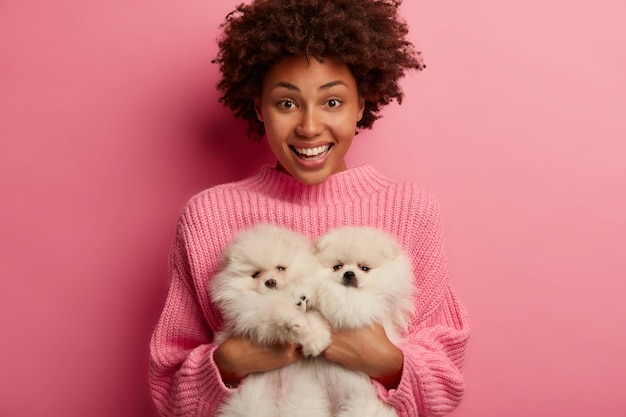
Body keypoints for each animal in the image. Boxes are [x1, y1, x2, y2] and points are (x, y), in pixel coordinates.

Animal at [208, 224, 332, 416]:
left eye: (281, 268)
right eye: (255, 274)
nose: (270, 282)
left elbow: (313, 315)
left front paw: (316, 338)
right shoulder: (250, 311)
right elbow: (276, 308)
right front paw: (293, 321)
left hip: (301, 400)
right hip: (249, 402)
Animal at [310, 228, 414, 416]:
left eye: (364, 268)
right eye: (337, 266)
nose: (349, 274)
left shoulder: (361, 306)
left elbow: (333, 293)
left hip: (362, 406)